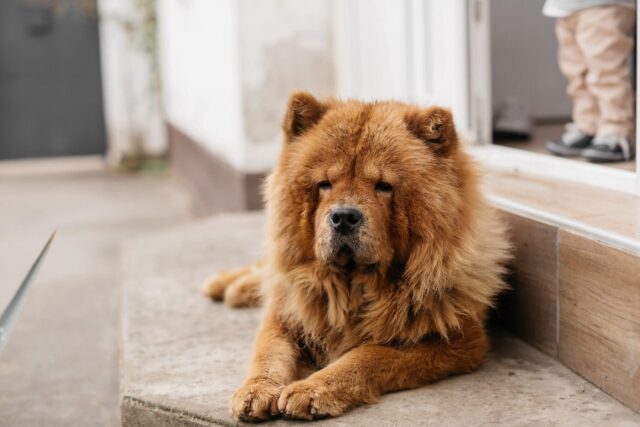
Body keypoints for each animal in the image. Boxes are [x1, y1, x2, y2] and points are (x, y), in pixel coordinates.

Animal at [202, 92, 512, 422]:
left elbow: (369, 355)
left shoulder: (457, 340)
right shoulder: (286, 314)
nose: (343, 217)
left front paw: (311, 390)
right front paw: (255, 391)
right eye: (325, 184)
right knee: (265, 271)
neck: (354, 287)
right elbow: (269, 351)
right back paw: (226, 285)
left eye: (384, 187)